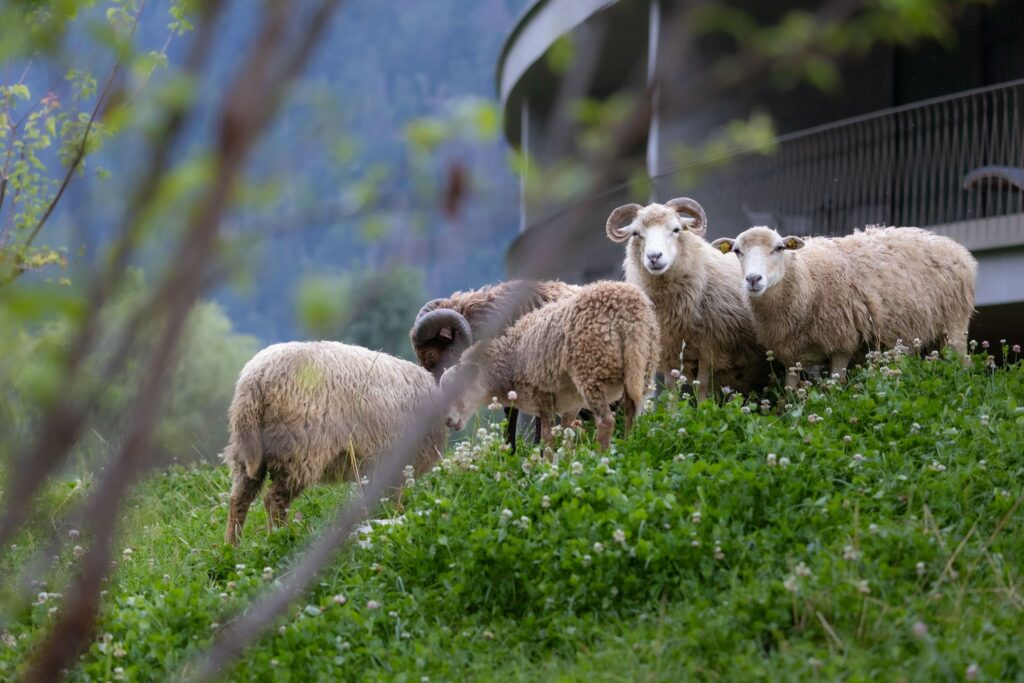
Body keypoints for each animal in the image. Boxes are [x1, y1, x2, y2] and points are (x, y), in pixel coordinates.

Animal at [223, 341, 447, 544]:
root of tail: (257, 378)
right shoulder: (398, 464)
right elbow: (395, 500)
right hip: (298, 451)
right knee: (274, 500)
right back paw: (280, 540)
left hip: (246, 451)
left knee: (239, 498)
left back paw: (233, 548)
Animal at [437, 281, 660, 450]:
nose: (446, 421)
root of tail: (627, 317)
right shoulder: (570, 404)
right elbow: (566, 434)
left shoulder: (544, 398)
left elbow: (546, 440)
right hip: (640, 370)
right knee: (630, 415)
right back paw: (626, 448)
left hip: (591, 375)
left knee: (607, 421)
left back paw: (601, 457)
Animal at [606, 197, 767, 401]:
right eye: (636, 233)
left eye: (676, 229)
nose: (654, 257)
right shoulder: (667, 348)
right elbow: (670, 388)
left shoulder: (710, 346)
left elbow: (702, 386)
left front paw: (703, 407)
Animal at [710, 226, 977, 385]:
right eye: (737, 251)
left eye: (779, 248)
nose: (753, 279)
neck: (806, 280)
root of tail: (953, 246)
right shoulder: (791, 355)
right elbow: (789, 395)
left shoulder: (841, 342)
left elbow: (834, 387)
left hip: (955, 324)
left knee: (963, 364)